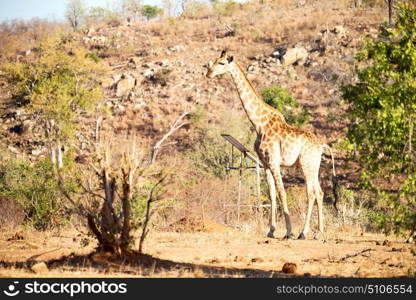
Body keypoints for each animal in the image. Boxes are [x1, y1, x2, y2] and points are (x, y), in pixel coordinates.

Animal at [206, 51, 336, 239]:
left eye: (222, 63)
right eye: (214, 61)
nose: (208, 73)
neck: (259, 124)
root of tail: (322, 146)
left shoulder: (274, 161)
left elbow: (282, 193)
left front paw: (288, 231)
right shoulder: (265, 163)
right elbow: (272, 194)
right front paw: (271, 230)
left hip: (306, 163)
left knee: (312, 193)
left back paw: (303, 233)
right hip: (313, 165)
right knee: (319, 193)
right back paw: (318, 232)